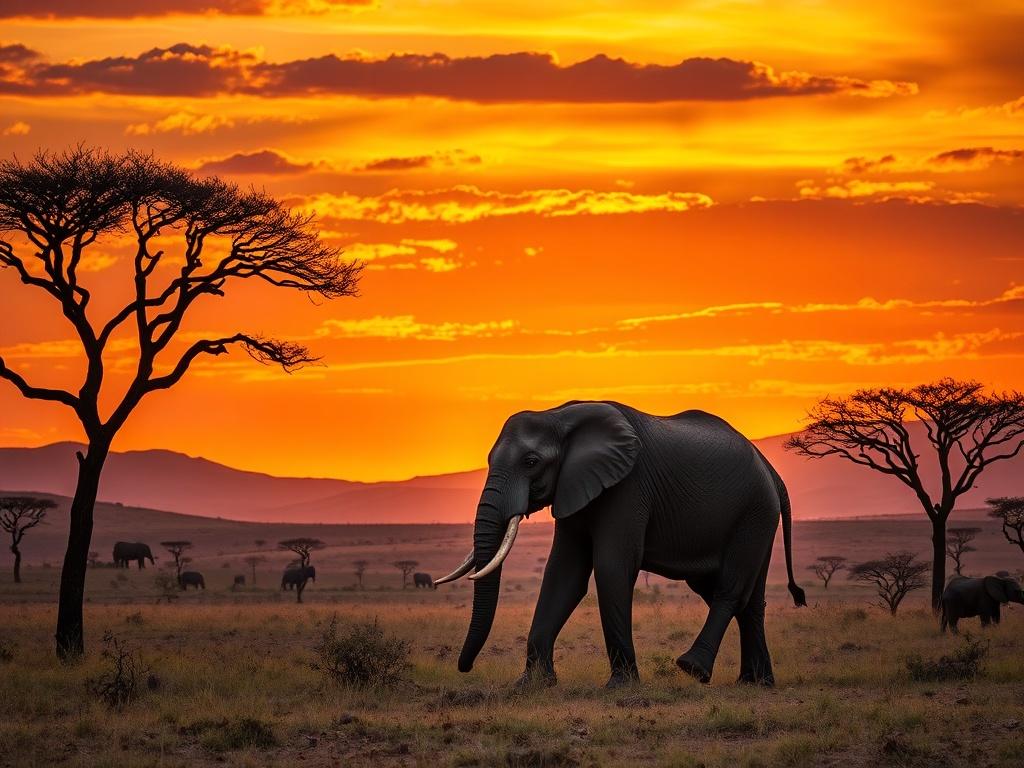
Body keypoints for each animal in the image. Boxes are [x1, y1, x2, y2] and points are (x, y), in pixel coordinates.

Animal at [436, 401, 805, 688]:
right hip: (755, 516)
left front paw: (620, 685)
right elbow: (563, 574)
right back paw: (755, 683)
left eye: (530, 461)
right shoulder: (575, 486)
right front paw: (532, 684)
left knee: (730, 588)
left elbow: (611, 567)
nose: (464, 667)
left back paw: (693, 668)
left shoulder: (629, 487)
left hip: (753, 513)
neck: (559, 416)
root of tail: (772, 472)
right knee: (745, 599)